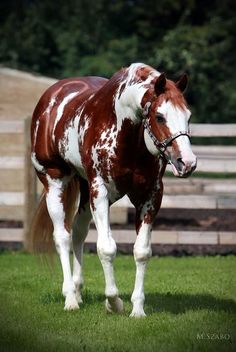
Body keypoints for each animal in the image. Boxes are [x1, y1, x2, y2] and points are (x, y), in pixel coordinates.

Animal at [30, 62, 196, 316]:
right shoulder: (101, 192)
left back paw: (78, 292)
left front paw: (137, 309)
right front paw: (114, 302)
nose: (186, 162)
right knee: (62, 237)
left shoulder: (151, 196)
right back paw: (70, 298)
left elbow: (142, 251)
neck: (126, 136)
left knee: (78, 232)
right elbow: (106, 248)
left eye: (188, 116)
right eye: (159, 116)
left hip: (85, 190)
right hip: (54, 181)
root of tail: (51, 97)